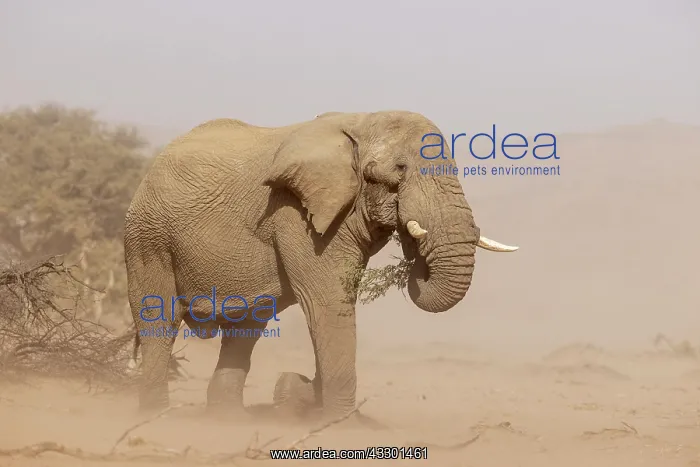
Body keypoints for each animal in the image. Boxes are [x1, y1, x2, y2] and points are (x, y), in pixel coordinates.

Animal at [123, 110, 518, 419]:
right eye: (401, 169)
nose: (412, 241)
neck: (363, 122)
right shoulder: (295, 214)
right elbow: (327, 302)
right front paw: (339, 422)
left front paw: (302, 395)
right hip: (148, 237)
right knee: (159, 321)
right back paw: (157, 415)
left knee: (246, 329)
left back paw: (228, 419)